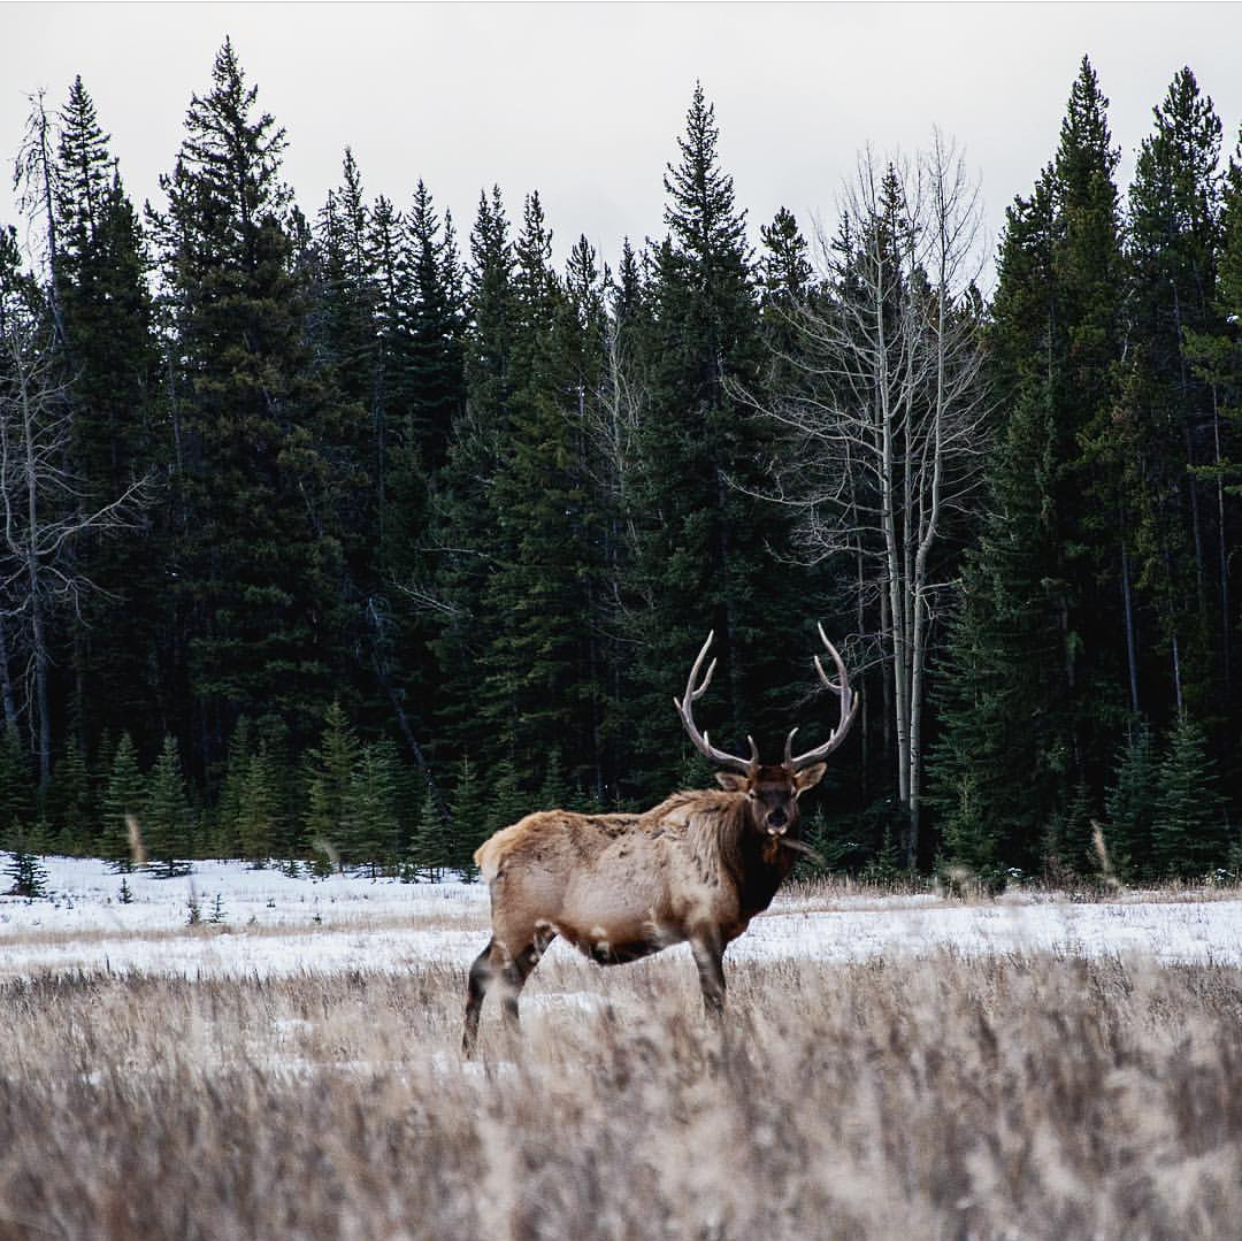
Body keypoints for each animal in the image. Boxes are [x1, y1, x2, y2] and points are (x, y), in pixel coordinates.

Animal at [462, 626, 859, 1053]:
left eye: (793, 792)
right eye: (753, 793)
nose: (777, 819)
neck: (742, 874)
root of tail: (487, 851)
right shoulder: (701, 922)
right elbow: (715, 999)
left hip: (523, 926)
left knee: (483, 972)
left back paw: (472, 1051)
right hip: (521, 921)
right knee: (500, 980)